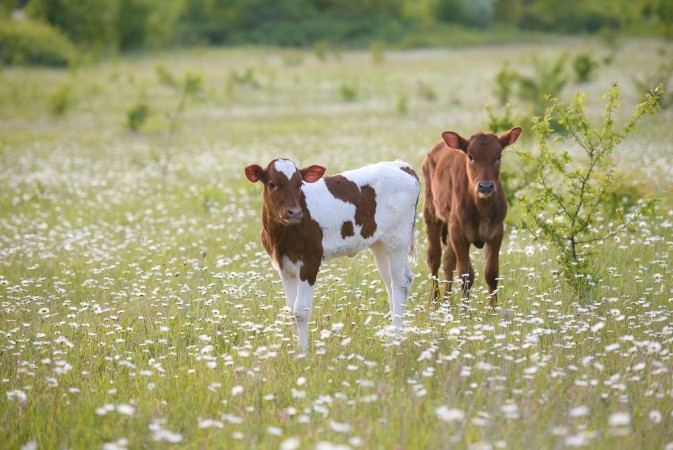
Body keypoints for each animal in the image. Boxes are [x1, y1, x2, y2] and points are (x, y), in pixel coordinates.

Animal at [245, 158, 420, 354]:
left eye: (299, 184)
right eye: (272, 184)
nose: (295, 212)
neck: (281, 237)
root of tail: (401, 165)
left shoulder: (310, 261)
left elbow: (301, 310)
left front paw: (303, 353)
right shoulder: (284, 266)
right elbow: (291, 309)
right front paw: (295, 351)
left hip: (397, 239)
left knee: (400, 283)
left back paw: (394, 341)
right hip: (379, 243)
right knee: (391, 283)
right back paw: (394, 337)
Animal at [422, 127, 522, 306]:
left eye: (498, 156)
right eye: (470, 156)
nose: (485, 186)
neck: (481, 209)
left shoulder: (496, 232)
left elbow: (491, 273)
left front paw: (493, 309)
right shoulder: (459, 234)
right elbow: (466, 275)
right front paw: (464, 311)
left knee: (448, 259)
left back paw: (446, 304)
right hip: (431, 212)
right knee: (434, 257)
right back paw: (435, 301)